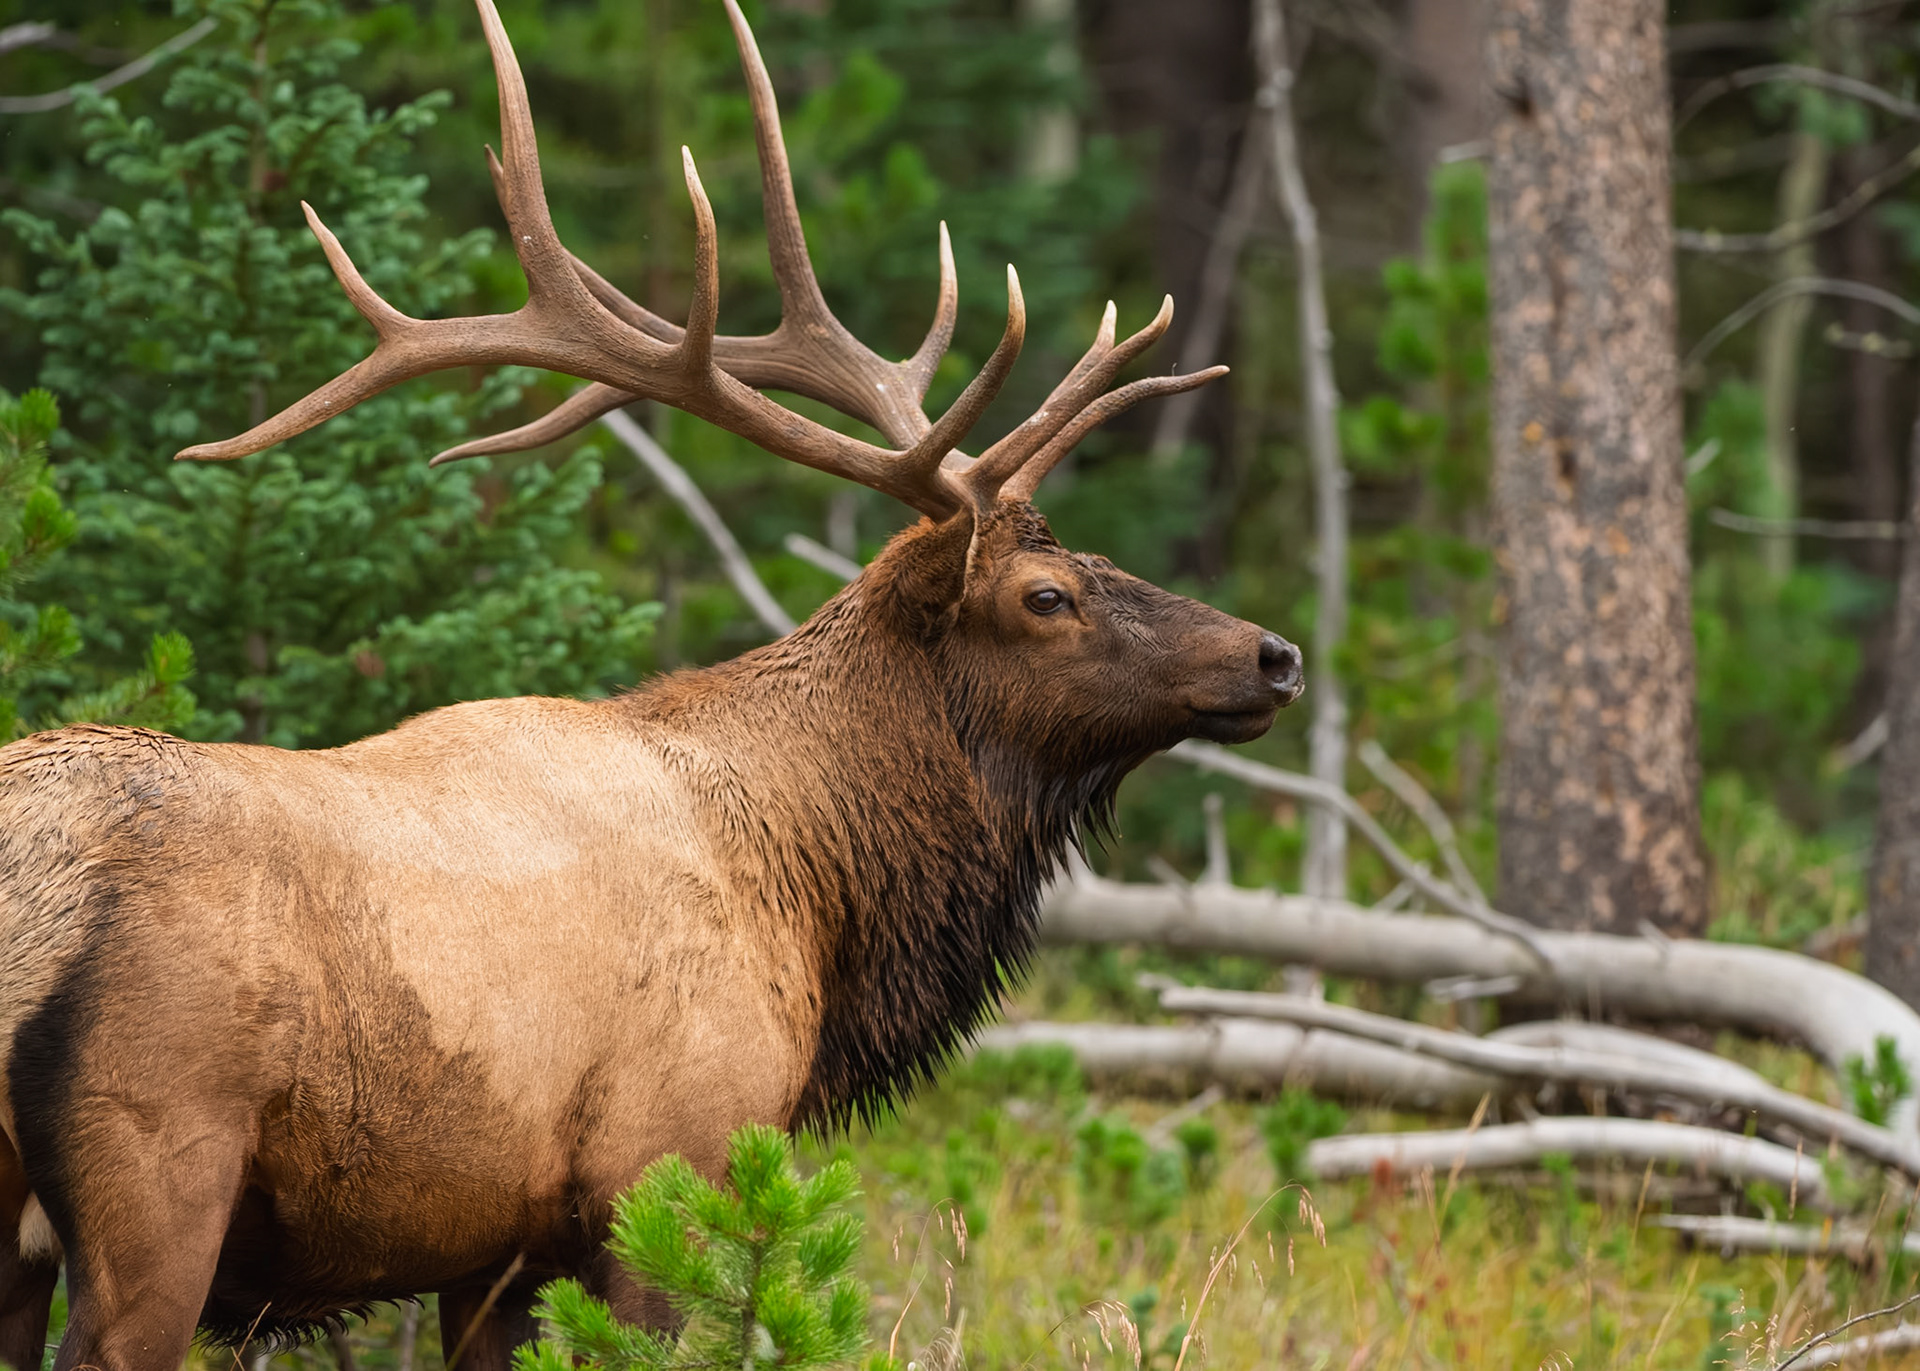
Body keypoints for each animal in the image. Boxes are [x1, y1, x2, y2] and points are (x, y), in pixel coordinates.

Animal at [0, 3, 1302, 1369]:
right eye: (1045, 596)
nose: (1273, 655)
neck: (816, 893)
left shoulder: (496, 1248)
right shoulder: (666, 1165)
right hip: (163, 1158)